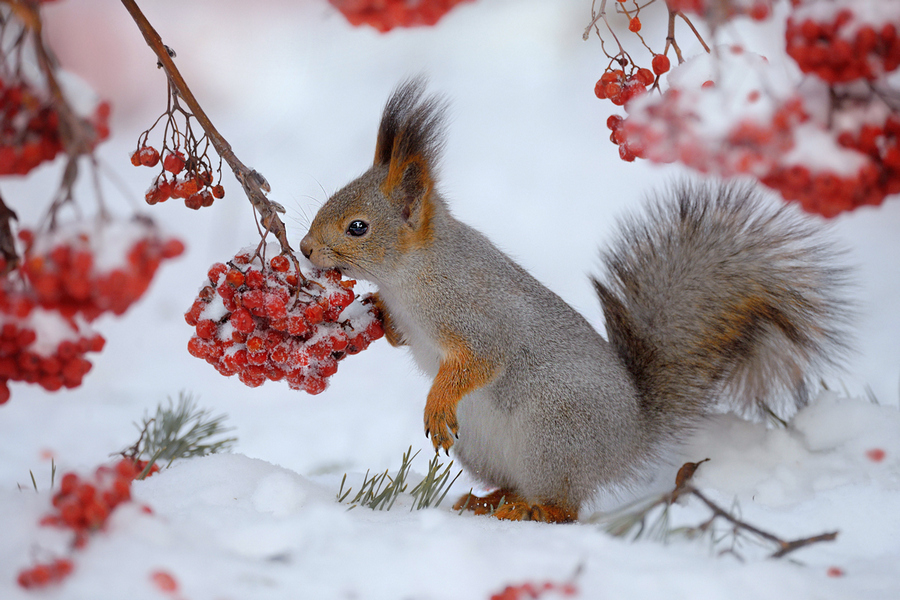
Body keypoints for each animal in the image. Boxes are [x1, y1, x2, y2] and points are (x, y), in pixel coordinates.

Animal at [300, 78, 852, 520]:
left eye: (357, 227)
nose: (304, 249)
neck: (410, 275)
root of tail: (627, 442)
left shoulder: (479, 313)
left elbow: (481, 360)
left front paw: (437, 401)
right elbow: (399, 334)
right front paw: (372, 313)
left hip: (553, 435)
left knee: (566, 507)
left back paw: (530, 510)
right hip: (485, 446)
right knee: (518, 485)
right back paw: (490, 500)